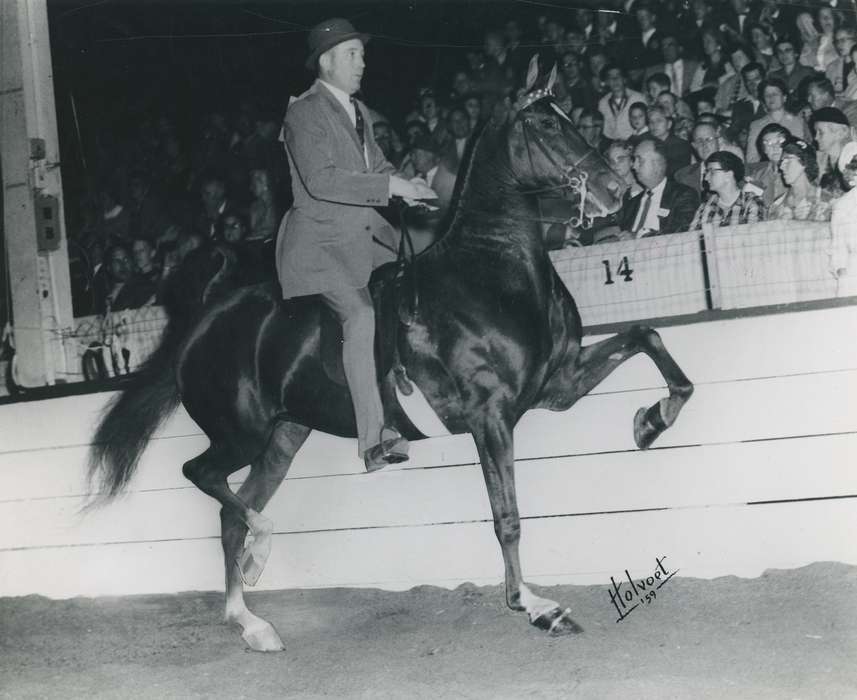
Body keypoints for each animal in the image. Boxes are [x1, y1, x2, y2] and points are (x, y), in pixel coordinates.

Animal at [86, 80, 694, 652]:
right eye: (545, 124)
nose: (616, 190)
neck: (492, 272)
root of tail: (205, 318)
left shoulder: (557, 385)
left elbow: (649, 338)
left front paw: (652, 421)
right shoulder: (491, 416)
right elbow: (507, 517)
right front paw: (535, 605)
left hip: (282, 439)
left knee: (232, 513)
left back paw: (252, 620)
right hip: (240, 434)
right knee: (206, 478)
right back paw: (261, 554)